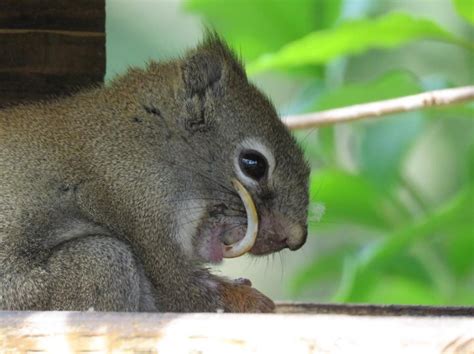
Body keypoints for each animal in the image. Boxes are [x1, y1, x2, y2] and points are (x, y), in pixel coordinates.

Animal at [0, 32, 310, 310]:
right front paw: (252, 301)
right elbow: (181, 288)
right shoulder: (137, 201)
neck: (157, 142)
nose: (296, 238)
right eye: (253, 164)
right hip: (95, 266)